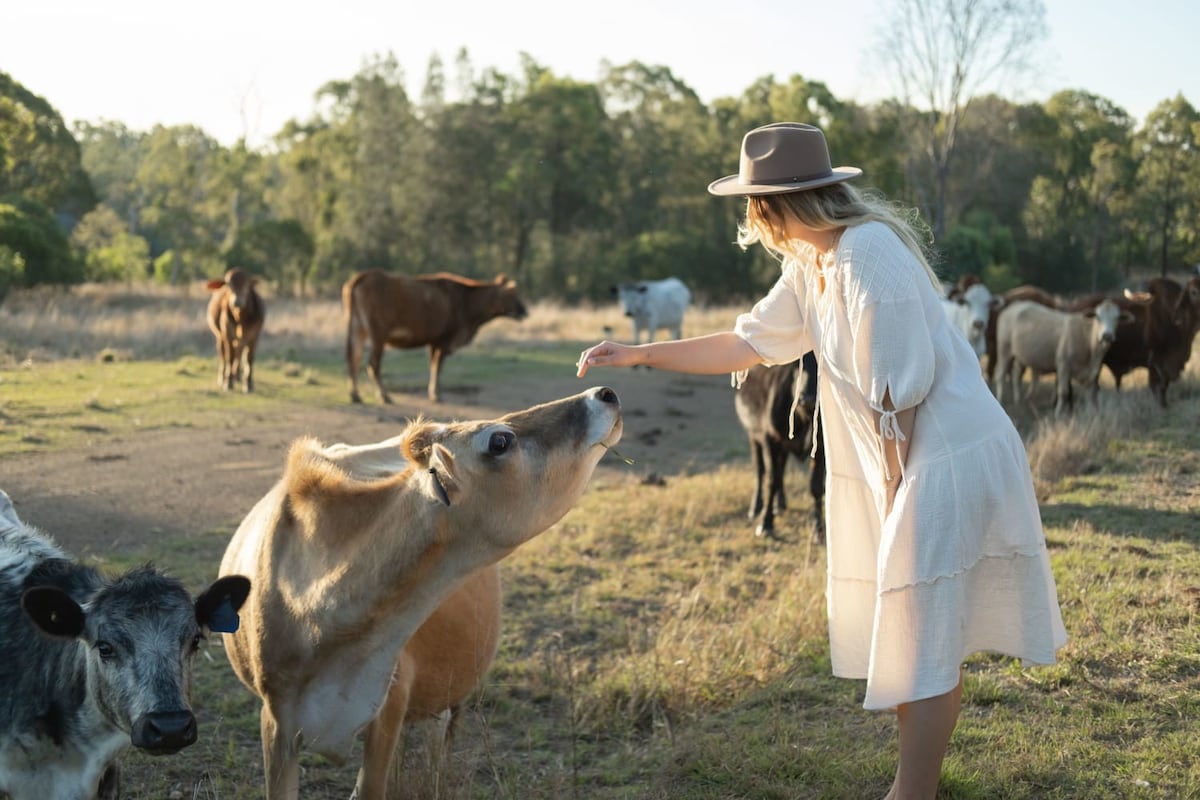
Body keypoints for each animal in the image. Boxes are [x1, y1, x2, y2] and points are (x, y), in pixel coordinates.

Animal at [338, 271, 525, 407]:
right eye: (512, 294)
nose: (525, 310)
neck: (466, 301)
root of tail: (363, 276)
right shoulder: (444, 340)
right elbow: (437, 367)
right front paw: (436, 394)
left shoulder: (433, 342)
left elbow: (433, 366)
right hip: (378, 335)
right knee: (373, 365)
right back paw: (385, 396)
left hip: (358, 329)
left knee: (354, 358)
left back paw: (355, 395)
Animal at [729, 357, 825, 544]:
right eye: (797, 365)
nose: (808, 399)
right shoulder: (770, 438)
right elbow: (771, 481)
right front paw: (765, 524)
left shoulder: (821, 448)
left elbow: (816, 486)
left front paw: (818, 531)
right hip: (754, 436)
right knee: (761, 470)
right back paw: (756, 508)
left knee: (781, 468)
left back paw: (780, 504)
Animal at [988, 297, 1128, 417]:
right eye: (1098, 318)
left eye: (1117, 318)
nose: (1107, 336)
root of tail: (1015, 305)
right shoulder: (1063, 365)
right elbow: (1063, 391)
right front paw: (1058, 413)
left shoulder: (1091, 374)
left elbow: (1090, 393)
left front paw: (1090, 412)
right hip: (1004, 349)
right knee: (1001, 374)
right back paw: (1000, 398)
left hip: (1020, 356)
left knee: (1016, 375)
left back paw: (1018, 400)